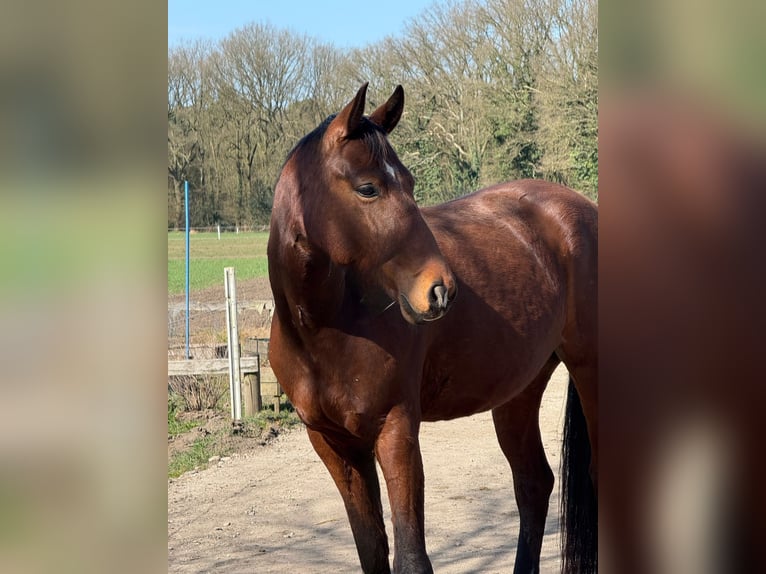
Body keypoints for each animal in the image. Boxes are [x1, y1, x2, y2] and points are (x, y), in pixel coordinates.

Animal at [267, 83, 597, 574]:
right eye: (368, 188)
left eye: (410, 183)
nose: (441, 290)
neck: (324, 333)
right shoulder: (333, 444)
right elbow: (372, 551)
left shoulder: (396, 431)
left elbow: (411, 558)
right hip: (519, 390)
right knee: (533, 484)